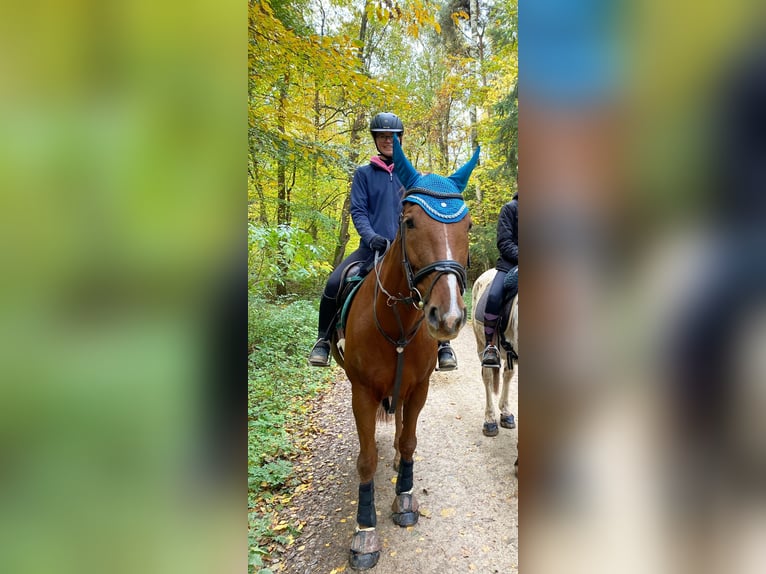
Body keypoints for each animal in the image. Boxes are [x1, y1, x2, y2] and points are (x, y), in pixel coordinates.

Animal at [332, 135, 476, 572]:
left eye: (467, 225)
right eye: (409, 222)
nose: (448, 317)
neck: (395, 323)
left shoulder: (419, 388)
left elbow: (410, 441)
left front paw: (406, 495)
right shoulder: (361, 392)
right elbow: (365, 460)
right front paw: (364, 531)